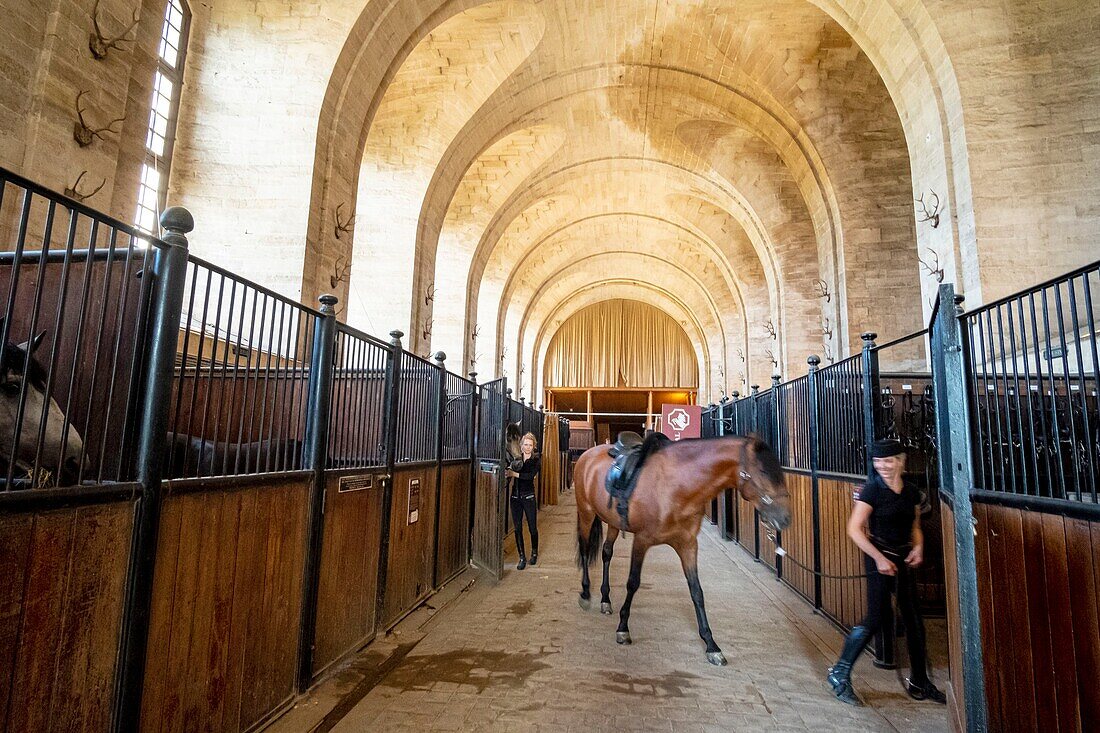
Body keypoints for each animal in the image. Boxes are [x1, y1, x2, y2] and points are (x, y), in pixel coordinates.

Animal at [576, 431, 792, 664]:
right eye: (763, 471)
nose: (785, 518)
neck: (677, 486)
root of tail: (588, 454)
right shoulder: (642, 541)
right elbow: (633, 582)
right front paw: (623, 628)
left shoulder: (688, 544)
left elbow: (696, 591)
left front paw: (711, 645)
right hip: (586, 513)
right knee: (586, 550)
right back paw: (586, 594)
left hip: (613, 523)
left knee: (607, 552)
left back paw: (605, 600)